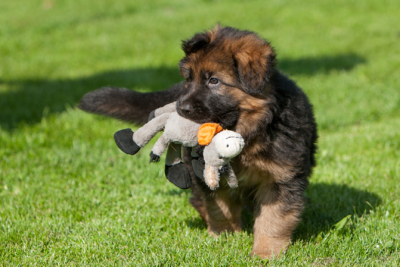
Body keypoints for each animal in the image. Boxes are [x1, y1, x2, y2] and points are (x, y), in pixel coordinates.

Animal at [78, 25, 318, 260]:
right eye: (189, 79)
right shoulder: (209, 173)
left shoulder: (280, 179)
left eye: (214, 80)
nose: (181, 108)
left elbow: (272, 220)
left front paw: (265, 254)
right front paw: (224, 237)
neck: (250, 131)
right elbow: (220, 207)